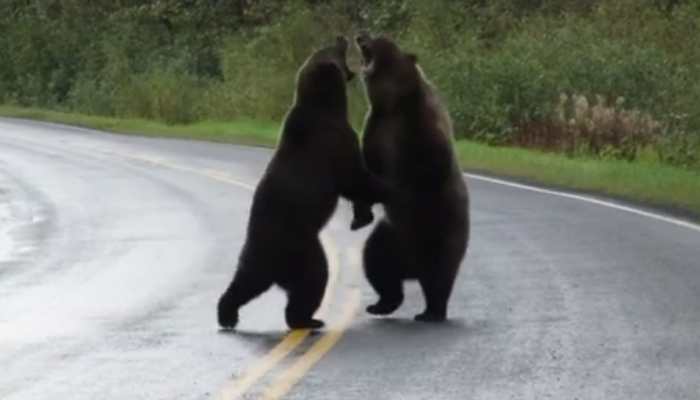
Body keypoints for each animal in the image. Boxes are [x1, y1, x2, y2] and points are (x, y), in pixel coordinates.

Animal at [217, 36, 388, 332]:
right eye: (333, 50)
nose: (342, 37)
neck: (325, 104)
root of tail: (272, 264)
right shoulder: (334, 140)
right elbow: (354, 177)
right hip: (303, 249)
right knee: (312, 280)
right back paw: (308, 319)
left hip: (254, 257)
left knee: (244, 283)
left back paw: (227, 314)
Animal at [356, 32, 470, 324]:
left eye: (380, 37)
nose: (360, 34)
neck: (394, 103)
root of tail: (412, 269)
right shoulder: (376, 127)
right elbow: (365, 169)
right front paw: (361, 212)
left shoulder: (420, 127)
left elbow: (429, 167)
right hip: (391, 236)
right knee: (376, 261)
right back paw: (382, 304)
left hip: (442, 233)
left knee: (439, 276)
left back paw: (432, 311)